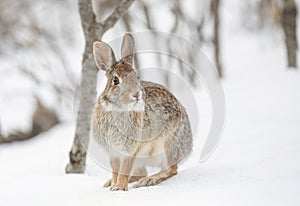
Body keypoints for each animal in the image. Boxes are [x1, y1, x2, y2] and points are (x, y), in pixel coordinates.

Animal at [91, 33, 193, 191]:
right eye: (115, 80)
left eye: (137, 77)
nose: (136, 94)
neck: (119, 107)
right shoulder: (113, 152)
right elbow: (115, 170)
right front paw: (114, 185)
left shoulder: (131, 150)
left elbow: (124, 169)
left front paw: (119, 188)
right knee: (142, 172)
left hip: (166, 147)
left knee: (171, 169)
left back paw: (149, 180)